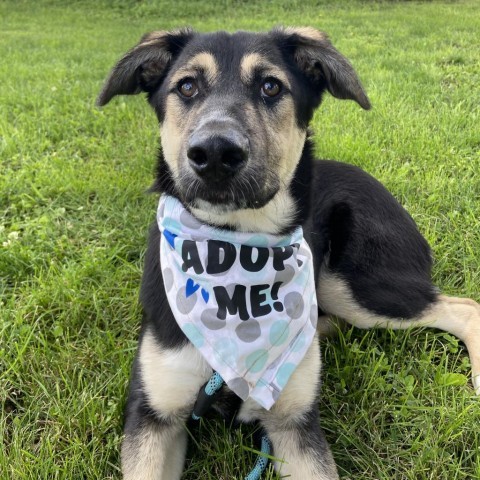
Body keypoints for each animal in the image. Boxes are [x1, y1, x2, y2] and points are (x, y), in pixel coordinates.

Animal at [98, 27, 480, 480]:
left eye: (271, 86)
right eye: (187, 86)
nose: (215, 153)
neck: (230, 251)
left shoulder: (294, 424)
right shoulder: (153, 415)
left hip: (348, 284)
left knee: (463, 306)